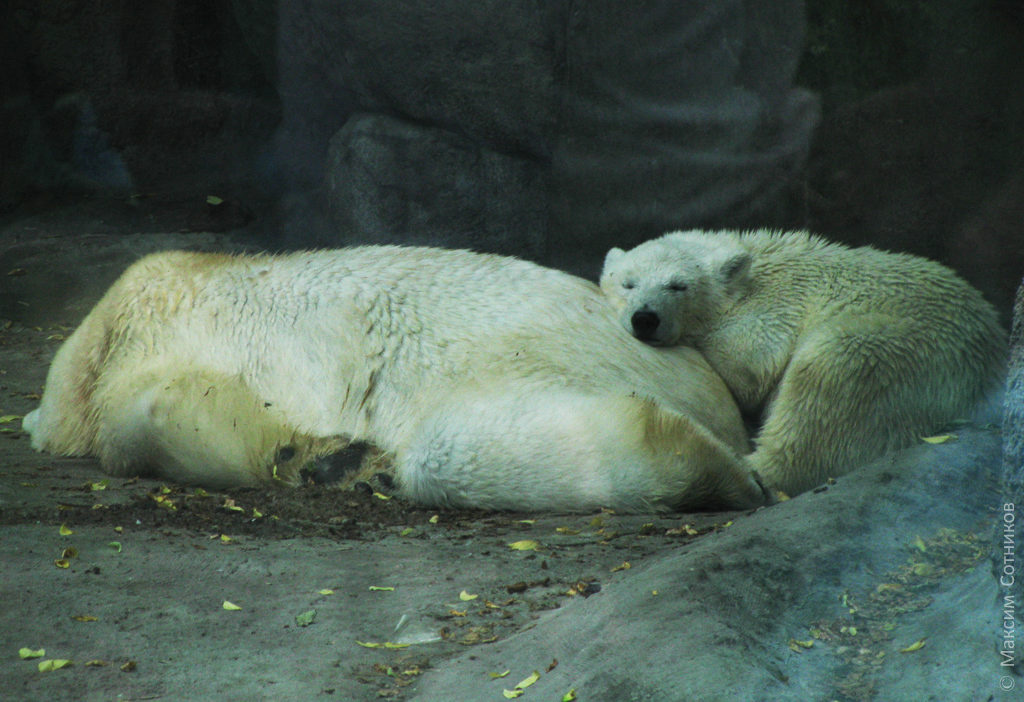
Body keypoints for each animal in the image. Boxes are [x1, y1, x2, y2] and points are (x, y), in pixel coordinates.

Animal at [23, 245, 768, 513]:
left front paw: (321, 454)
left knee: (451, 447)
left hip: (529, 358)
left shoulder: (143, 336)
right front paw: (330, 457)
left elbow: (158, 417)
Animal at [600, 229, 1007, 497]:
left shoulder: (773, 310)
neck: (751, 268)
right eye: (628, 283)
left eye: (677, 286)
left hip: (910, 350)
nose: (645, 318)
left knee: (827, 380)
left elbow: (747, 368)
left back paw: (754, 468)